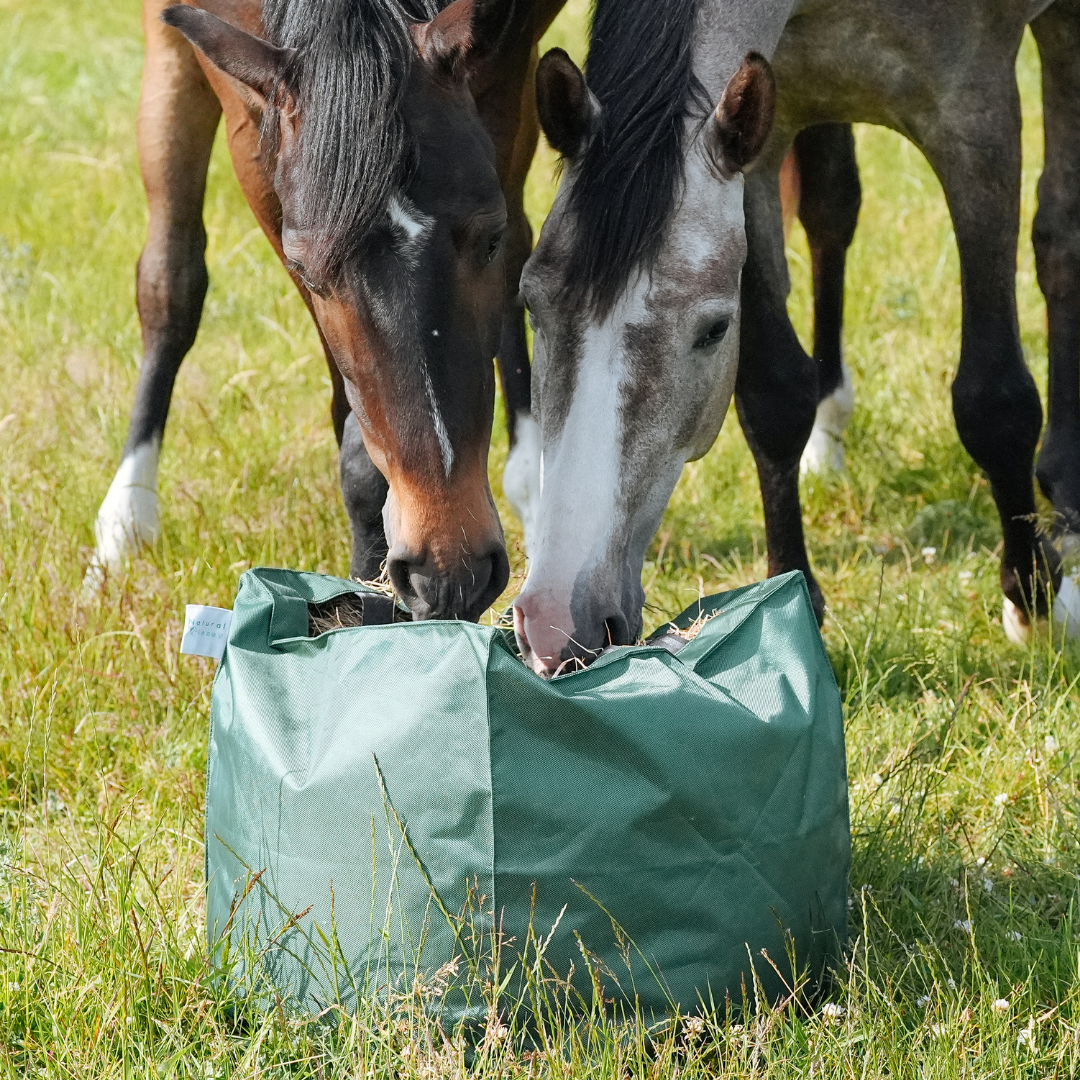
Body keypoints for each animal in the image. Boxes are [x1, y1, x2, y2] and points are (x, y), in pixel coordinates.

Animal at [514, 0, 1079, 674]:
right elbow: (774, 396)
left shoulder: (973, 109)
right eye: (531, 304)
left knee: (1061, 237)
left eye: (714, 329)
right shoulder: (764, 135)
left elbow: (995, 401)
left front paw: (1034, 601)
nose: (556, 624)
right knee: (833, 208)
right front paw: (796, 598)